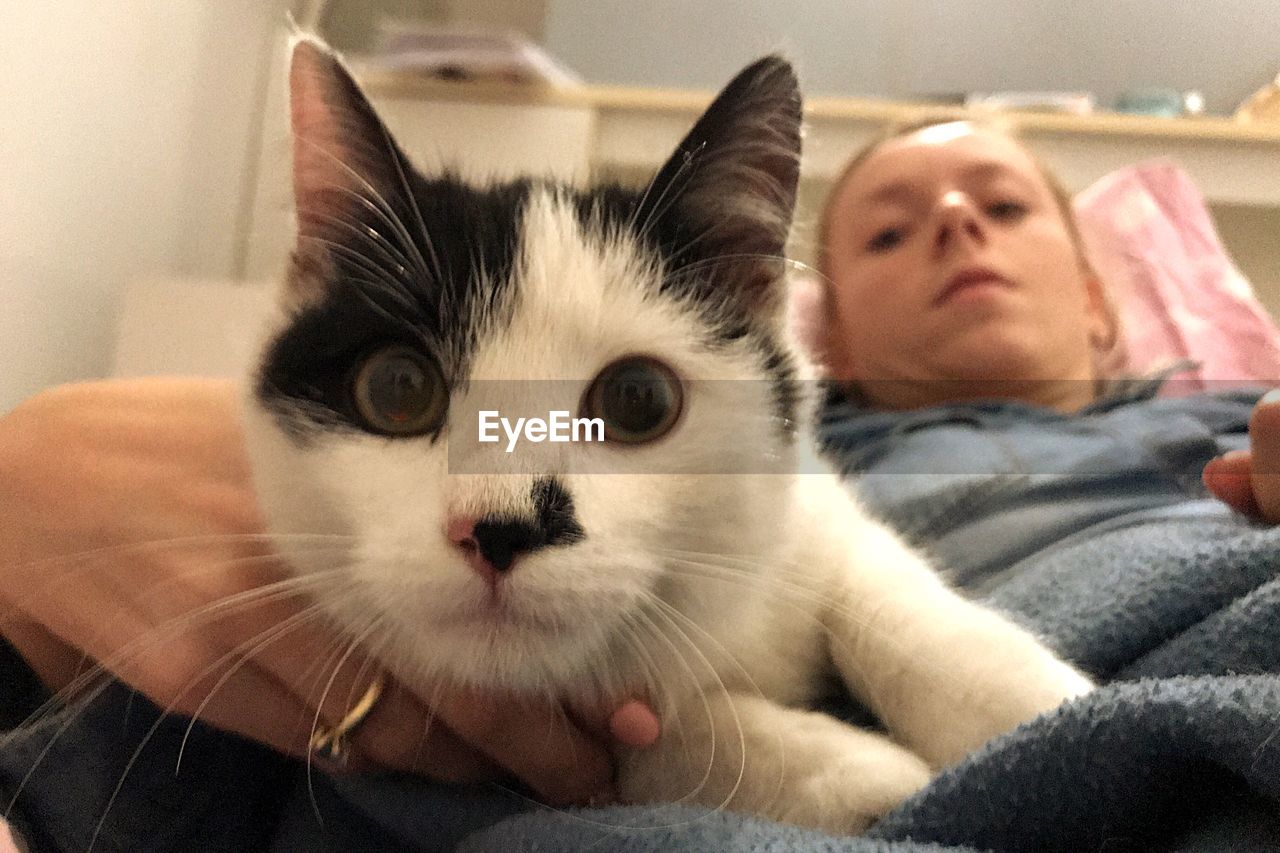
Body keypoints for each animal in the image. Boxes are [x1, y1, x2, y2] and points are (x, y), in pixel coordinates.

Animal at [240, 36, 1090, 835]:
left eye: (638, 399)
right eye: (398, 389)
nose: (497, 527)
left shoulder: (811, 505)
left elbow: (884, 592)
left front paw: (1034, 708)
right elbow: (663, 738)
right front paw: (864, 773)